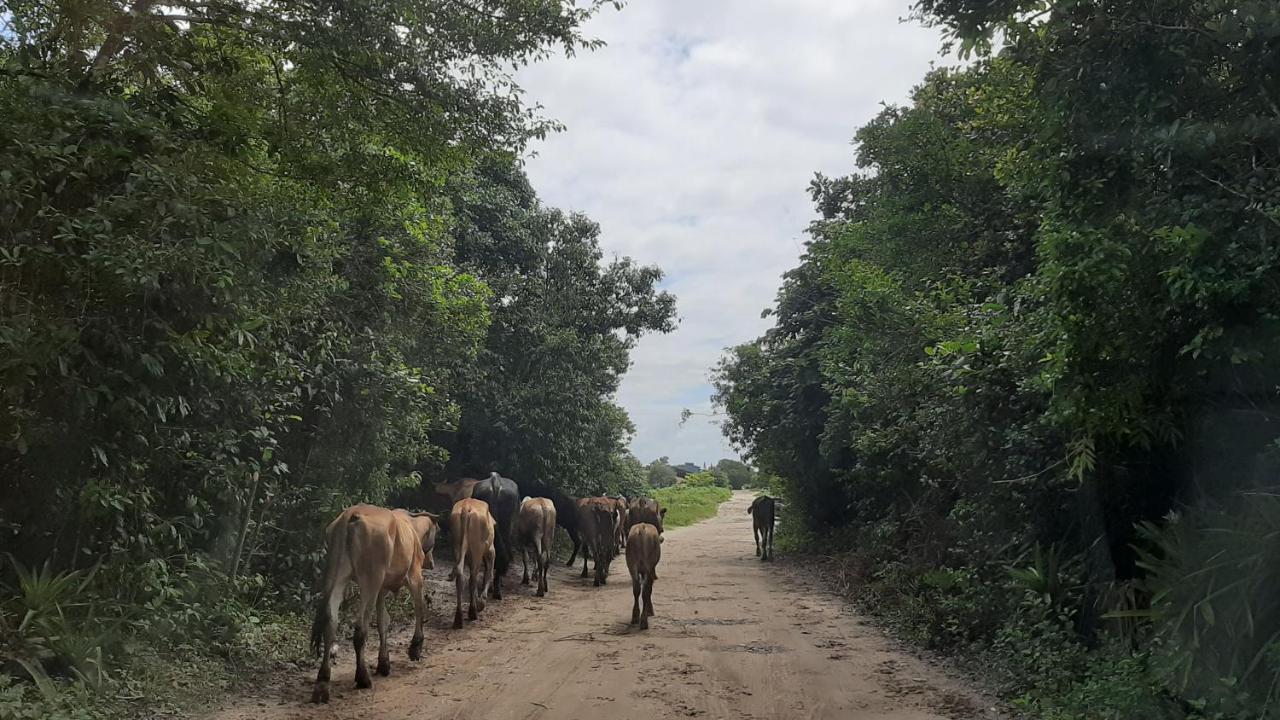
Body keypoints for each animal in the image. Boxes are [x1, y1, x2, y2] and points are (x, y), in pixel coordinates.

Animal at [307, 502, 437, 696]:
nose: (431, 563)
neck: (412, 528)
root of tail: (351, 515)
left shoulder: (382, 589)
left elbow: (384, 621)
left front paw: (384, 663)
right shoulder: (414, 576)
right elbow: (419, 608)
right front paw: (415, 647)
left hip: (338, 576)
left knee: (330, 622)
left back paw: (323, 682)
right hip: (371, 579)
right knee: (361, 628)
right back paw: (362, 678)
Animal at [448, 497, 491, 625]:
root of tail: (466, 507)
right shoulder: (491, 549)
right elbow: (489, 573)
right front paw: (481, 602)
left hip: (457, 544)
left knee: (460, 575)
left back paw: (458, 618)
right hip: (477, 548)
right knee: (473, 578)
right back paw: (472, 612)